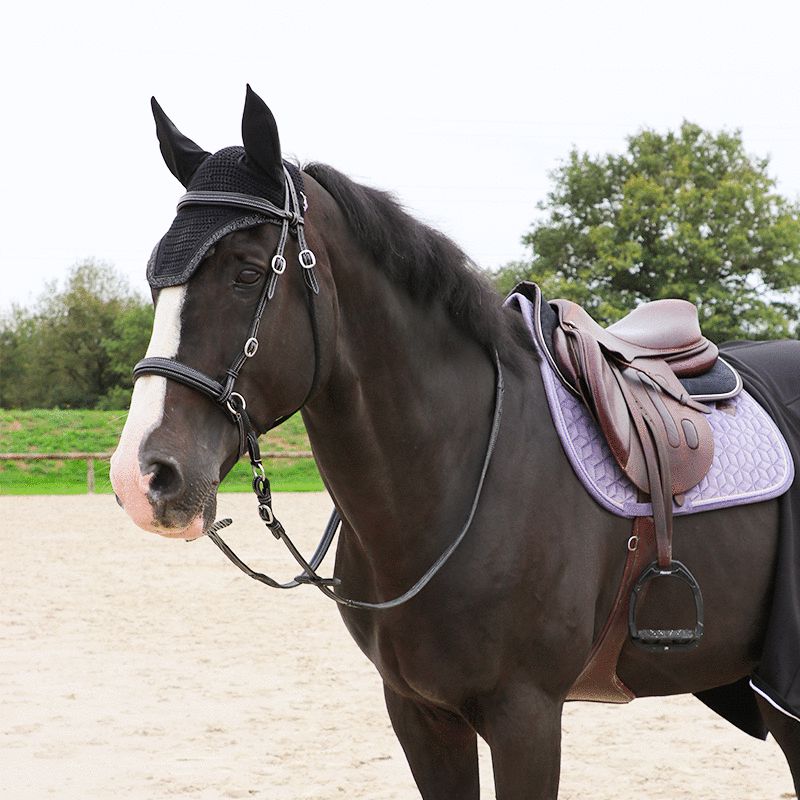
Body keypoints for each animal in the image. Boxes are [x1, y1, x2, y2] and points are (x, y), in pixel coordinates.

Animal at [110, 87, 800, 798]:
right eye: (155, 281)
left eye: (247, 273)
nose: (142, 476)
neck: (453, 480)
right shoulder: (419, 712)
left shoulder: (526, 714)